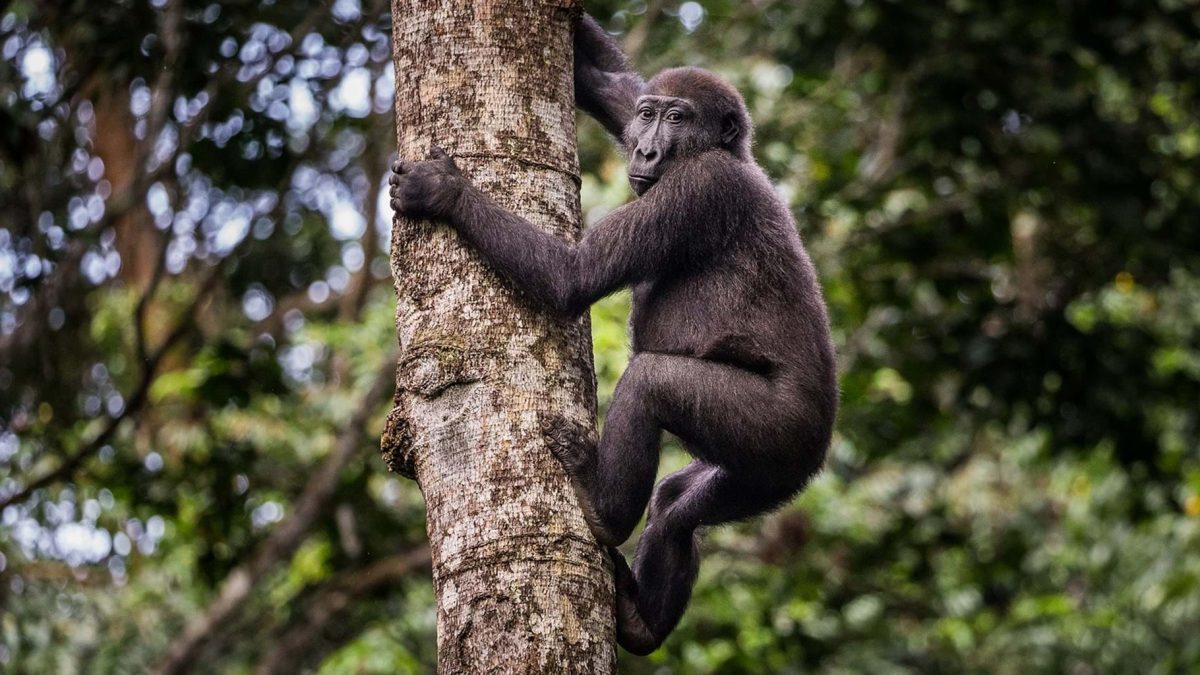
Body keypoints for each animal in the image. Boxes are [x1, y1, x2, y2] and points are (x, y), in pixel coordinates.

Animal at [389, 13, 837, 655]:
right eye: (649, 114)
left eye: (678, 119)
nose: (647, 146)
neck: (724, 152)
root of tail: (817, 457)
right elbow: (608, 83)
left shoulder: (697, 188)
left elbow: (573, 277)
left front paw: (443, 192)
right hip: (767, 478)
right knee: (678, 508)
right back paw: (643, 619)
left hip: (779, 431)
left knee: (650, 385)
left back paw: (605, 512)